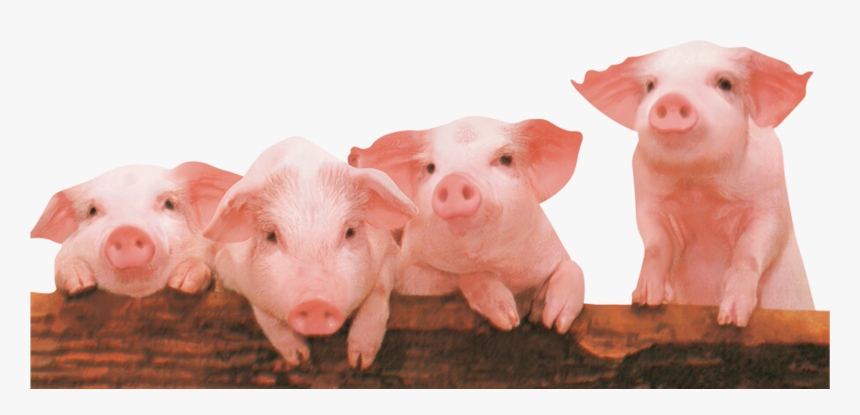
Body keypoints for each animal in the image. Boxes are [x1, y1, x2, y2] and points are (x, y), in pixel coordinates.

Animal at [203, 137, 417, 369]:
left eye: (350, 232)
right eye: (271, 236)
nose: (316, 302)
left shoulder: (388, 250)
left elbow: (379, 290)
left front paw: (359, 362)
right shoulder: (228, 267)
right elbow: (263, 312)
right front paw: (299, 359)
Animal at [349, 117, 585, 334]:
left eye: (506, 159)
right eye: (430, 167)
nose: (454, 180)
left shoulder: (551, 251)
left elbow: (573, 266)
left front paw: (554, 322)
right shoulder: (407, 271)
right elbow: (459, 276)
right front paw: (509, 321)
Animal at [572, 41, 814, 326]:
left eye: (725, 83)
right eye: (651, 85)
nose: (672, 98)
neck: (698, 184)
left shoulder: (771, 205)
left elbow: (751, 251)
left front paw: (731, 320)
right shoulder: (647, 200)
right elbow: (656, 245)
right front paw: (645, 299)